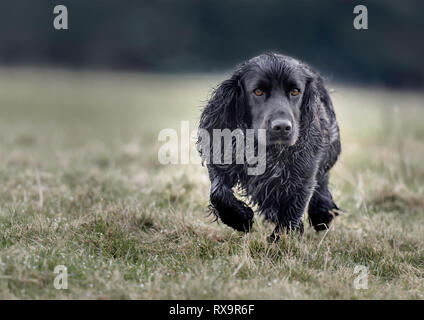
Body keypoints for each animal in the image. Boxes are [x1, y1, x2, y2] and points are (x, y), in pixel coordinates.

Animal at [198, 52, 342, 239]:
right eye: (258, 91)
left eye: (295, 91)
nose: (281, 127)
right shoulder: (221, 158)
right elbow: (218, 193)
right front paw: (240, 219)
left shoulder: (302, 178)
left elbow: (289, 217)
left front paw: (279, 242)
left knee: (322, 181)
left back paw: (321, 214)